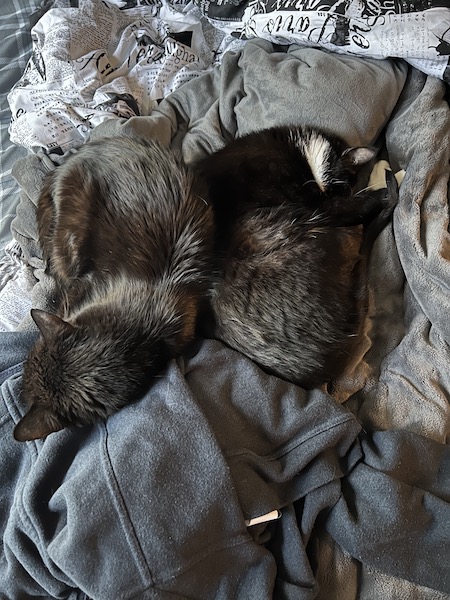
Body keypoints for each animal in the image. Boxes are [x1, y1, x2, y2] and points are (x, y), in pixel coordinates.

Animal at [198, 126, 398, 390]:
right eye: (339, 188)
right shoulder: (324, 206)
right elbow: (364, 204)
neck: (302, 155)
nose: (326, 194)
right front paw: (388, 176)